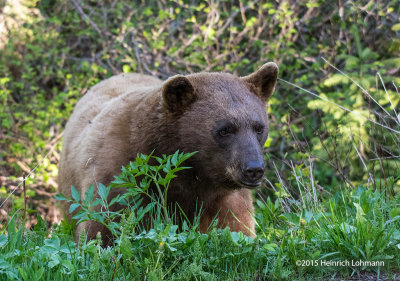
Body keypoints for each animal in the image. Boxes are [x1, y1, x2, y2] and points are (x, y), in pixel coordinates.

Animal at [58, 61, 278, 243]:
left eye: (259, 127)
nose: (253, 169)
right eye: (224, 130)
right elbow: (103, 227)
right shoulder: (116, 177)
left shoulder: (224, 197)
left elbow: (235, 228)